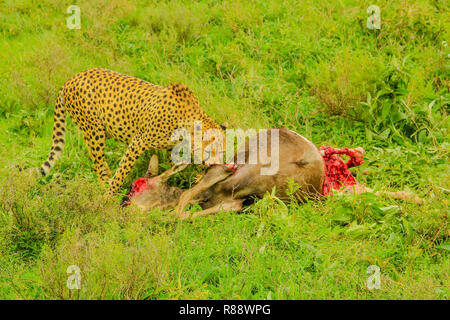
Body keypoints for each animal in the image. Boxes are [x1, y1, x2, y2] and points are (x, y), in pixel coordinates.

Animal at [40, 68, 225, 192]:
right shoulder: (138, 142)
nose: (217, 164)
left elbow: (174, 167)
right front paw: (108, 198)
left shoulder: (171, 147)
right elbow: (122, 172)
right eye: (211, 149)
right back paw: (104, 183)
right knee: (98, 159)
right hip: (94, 130)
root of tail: (72, 78)